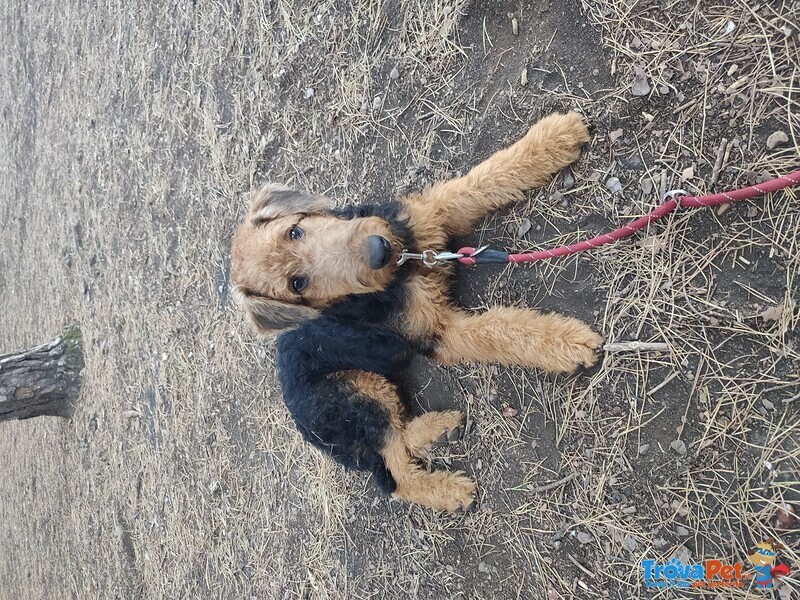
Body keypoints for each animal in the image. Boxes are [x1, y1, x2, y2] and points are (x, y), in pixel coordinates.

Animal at [234, 111, 604, 510]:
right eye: (297, 283)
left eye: (295, 231)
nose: (378, 249)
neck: (399, 273)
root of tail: (309, 433)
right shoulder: (440, 331)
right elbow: (499, 331)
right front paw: (569, 344)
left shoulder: (428, 214)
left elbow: (482, 179)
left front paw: (556, 136)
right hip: (359, 391)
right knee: (395, 473)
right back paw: (452, 489)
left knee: (399, 444)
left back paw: (440, 430)